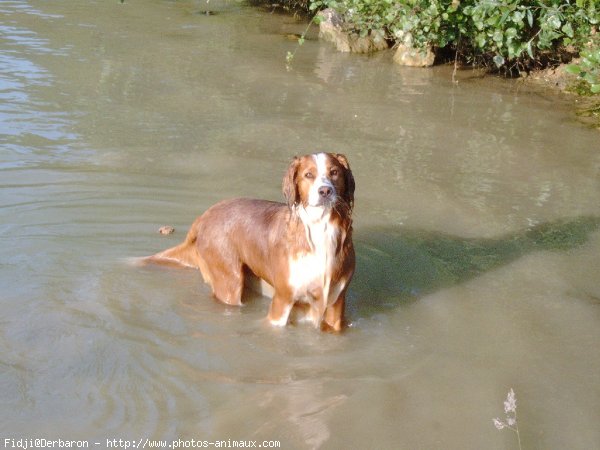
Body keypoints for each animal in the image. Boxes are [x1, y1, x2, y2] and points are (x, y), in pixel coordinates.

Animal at [143, 153, 354, 332]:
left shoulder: (336, 303)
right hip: (229, 282)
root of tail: (206, 214)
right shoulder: (283, 299)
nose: (325, 190)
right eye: (308, 175)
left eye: (334, 172)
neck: (321, 229)